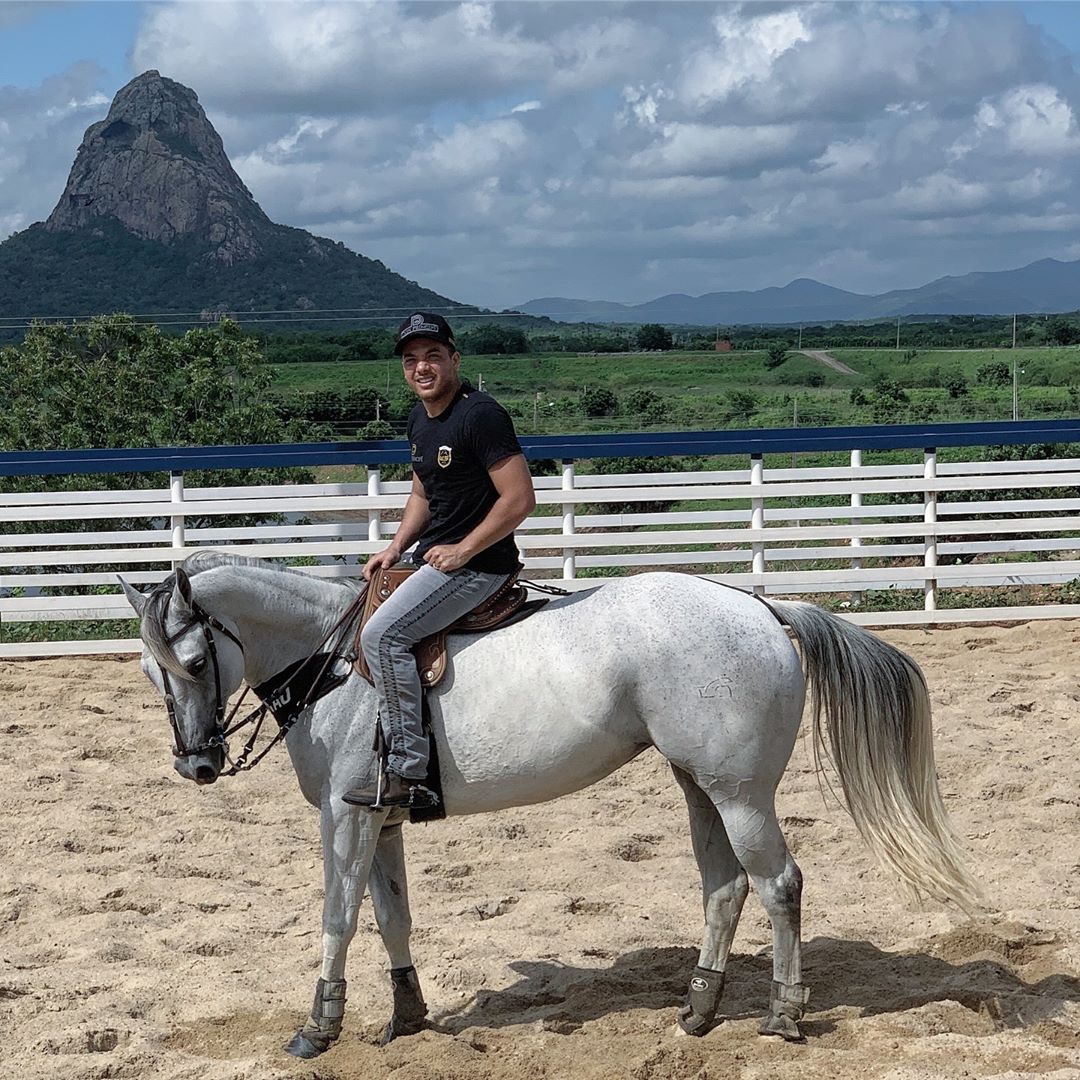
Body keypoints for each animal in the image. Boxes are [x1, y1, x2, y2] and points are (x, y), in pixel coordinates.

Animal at [118, 552, 980, 1058]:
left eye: (194, 660)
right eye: (149, 670)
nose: (198, 763)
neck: (337, 662)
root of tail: (763, 608)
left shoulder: (346, 815)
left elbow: (338, 917)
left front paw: (318, 1027)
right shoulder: (380, 817)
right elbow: (392, 917)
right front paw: (408, 1017)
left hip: (740, 794)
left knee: (779, 886)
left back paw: (782, 1015)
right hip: (698, 785)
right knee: (725, 888)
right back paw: (699, 1012)